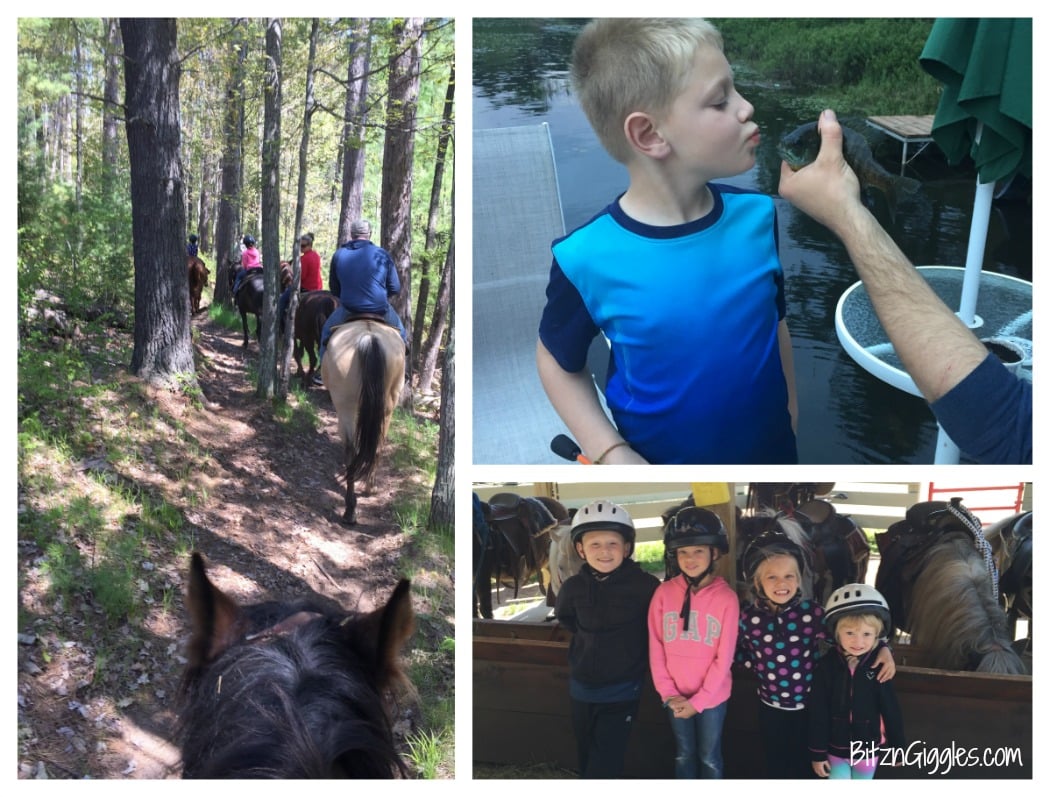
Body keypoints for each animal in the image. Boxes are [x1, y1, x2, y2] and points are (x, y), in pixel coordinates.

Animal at [319, 321, 405, 527]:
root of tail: (369, 337)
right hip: (386, 407)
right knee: (377, 445)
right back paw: (366, 490)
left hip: (345, 405)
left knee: (351, 449)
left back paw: (351, 508)